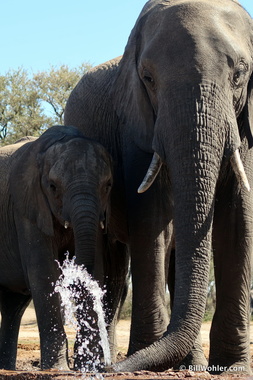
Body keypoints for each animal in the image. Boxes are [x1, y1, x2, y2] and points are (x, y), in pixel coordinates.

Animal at [0, 126, 119, 370]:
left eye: (108, 186)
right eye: (53, 187)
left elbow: (96, 271)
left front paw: (87, 367)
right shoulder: (27, 210)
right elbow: (44, 273)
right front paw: (58, 368)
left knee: (12, 305)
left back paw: (6, 367)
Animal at [64, 0, 253, 374]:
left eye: (240, 73)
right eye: (148, 79)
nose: (110, 371)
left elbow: (238, 217)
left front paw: (233, 369)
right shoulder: (134, 122)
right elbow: (151, 217)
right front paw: (144, 356)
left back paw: (186, 364)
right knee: (112, 266)